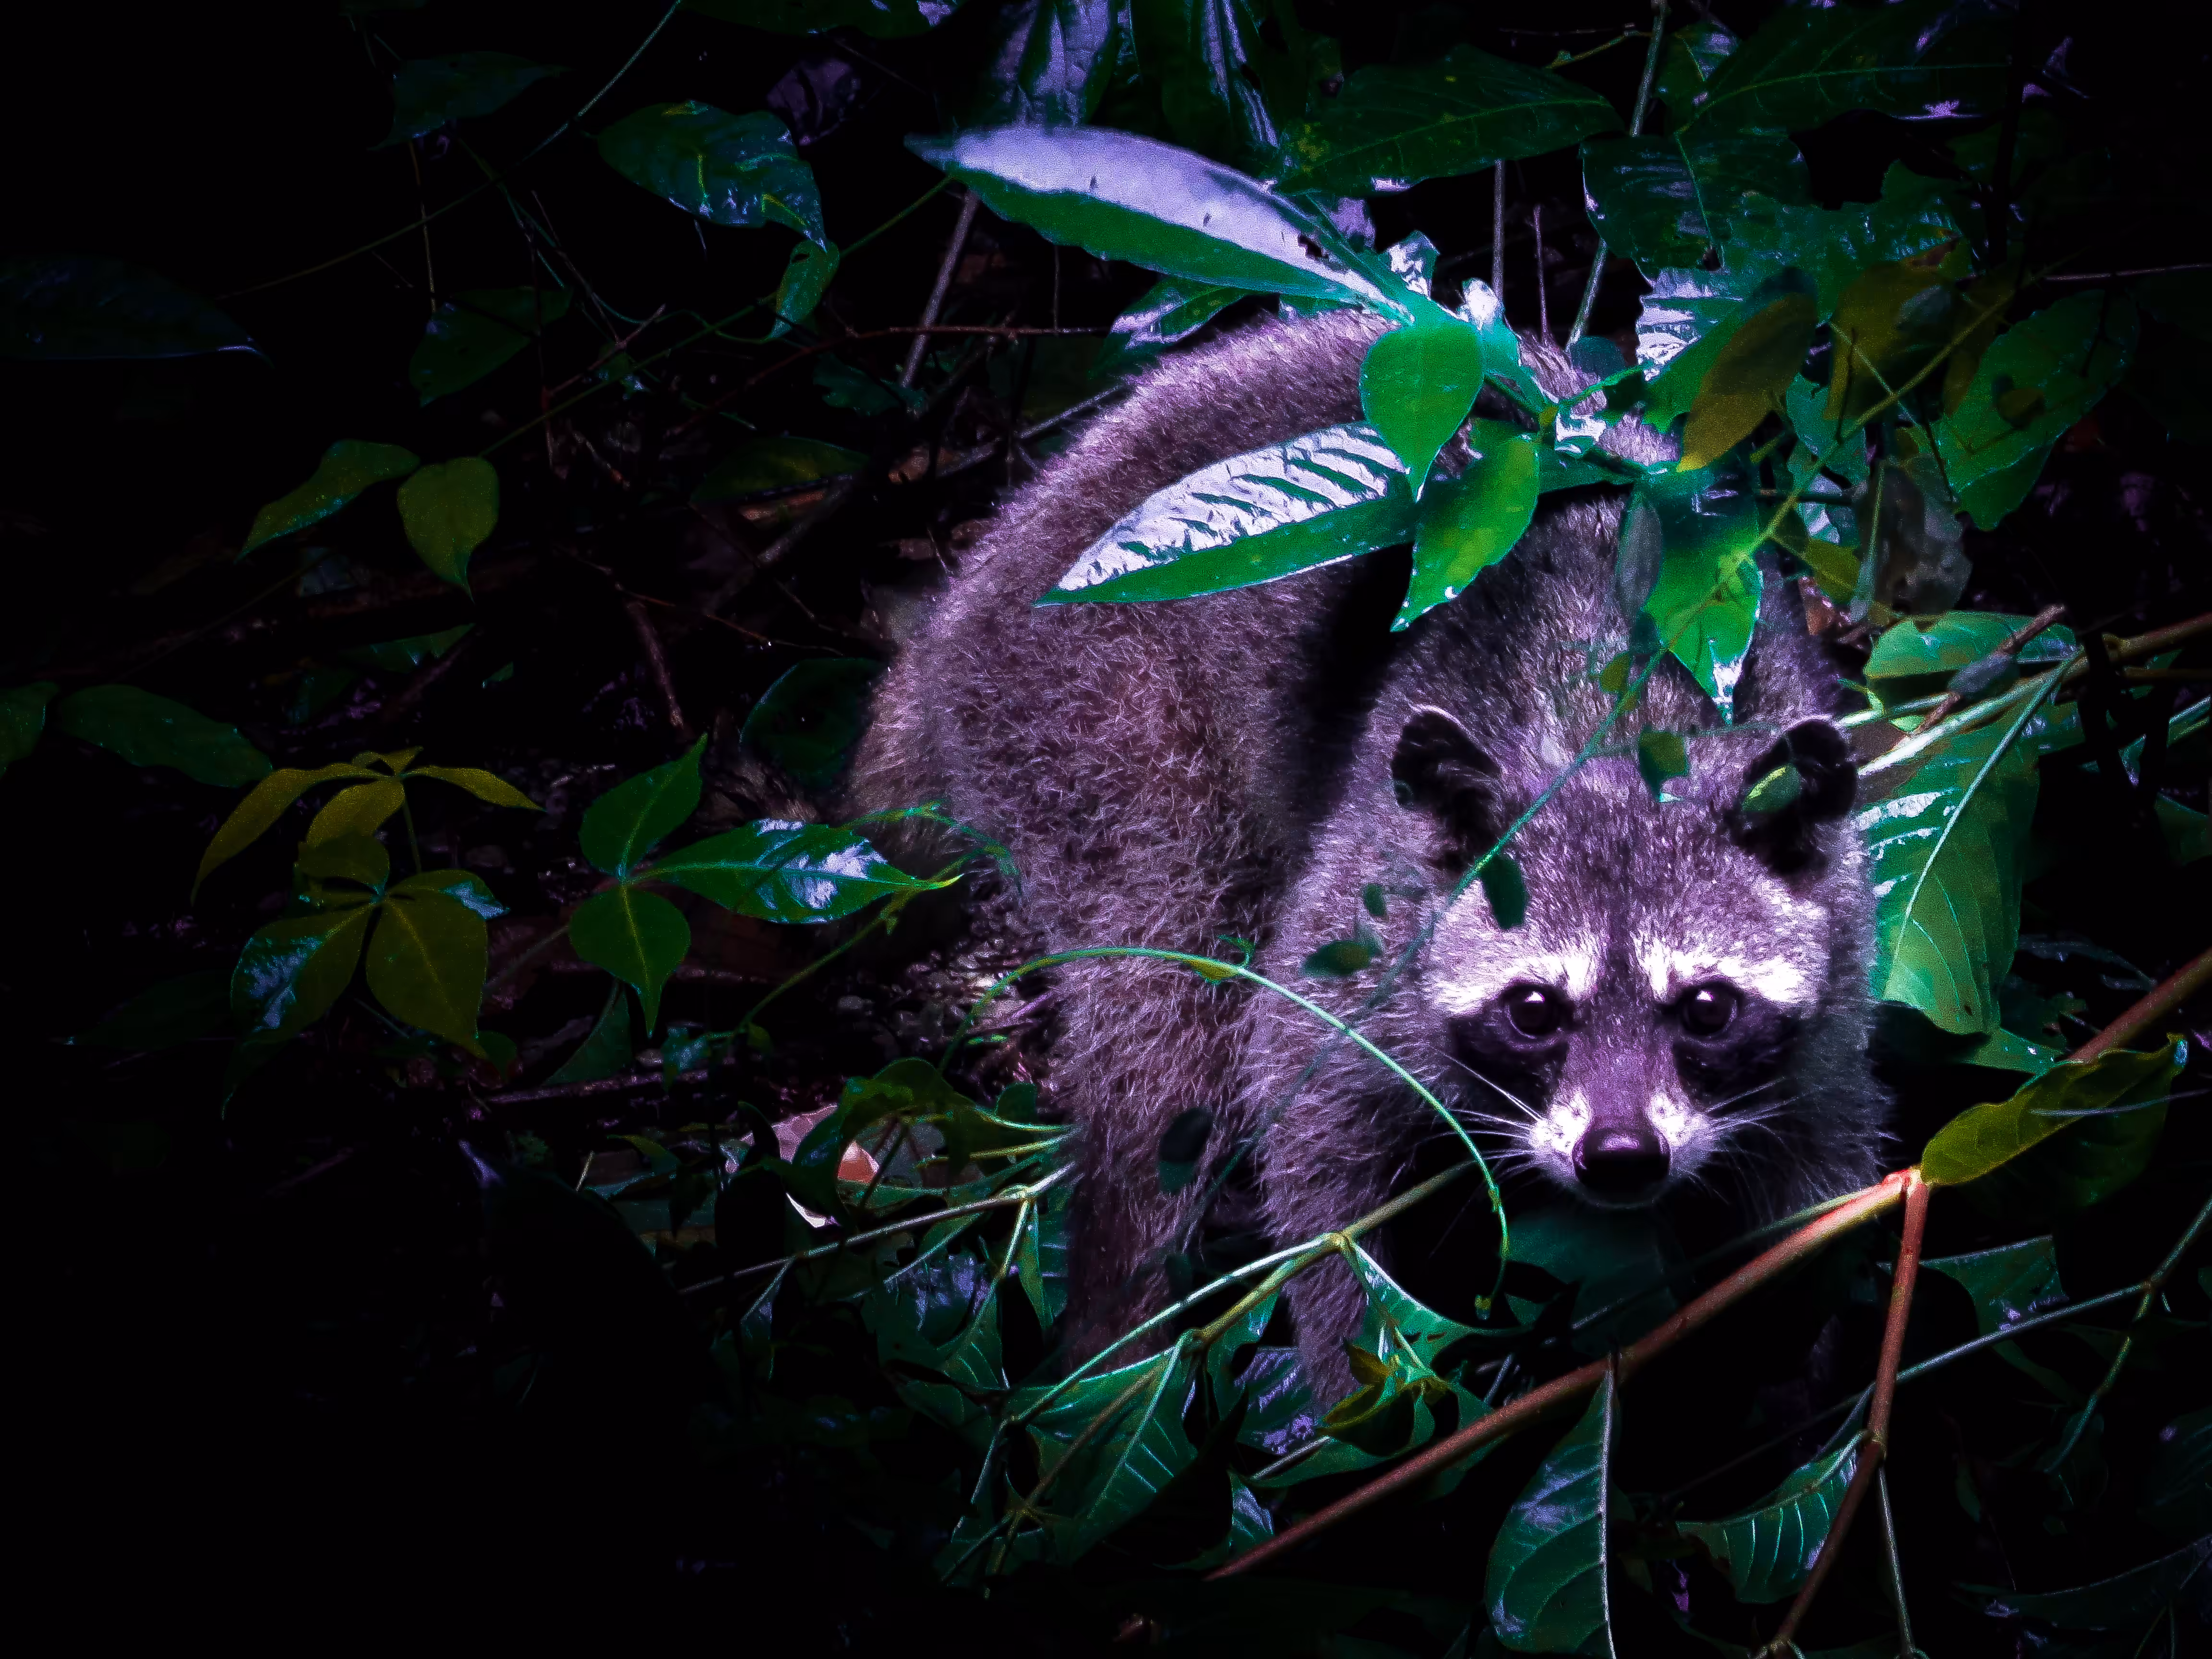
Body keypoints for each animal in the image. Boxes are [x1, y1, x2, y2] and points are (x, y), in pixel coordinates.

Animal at [850, 307, 1886, 1386]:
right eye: (1534, 1010)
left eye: (1707, 1008)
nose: (1620, 1156)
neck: (1622, 752)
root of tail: (985, 572)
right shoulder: (1369, 918)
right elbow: (1307, 1128)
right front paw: (1360, 1383)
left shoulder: (1838, 959)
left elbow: (1823, 1177)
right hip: (1092, 720)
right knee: (1170, 1019)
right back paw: (1115, 1329)